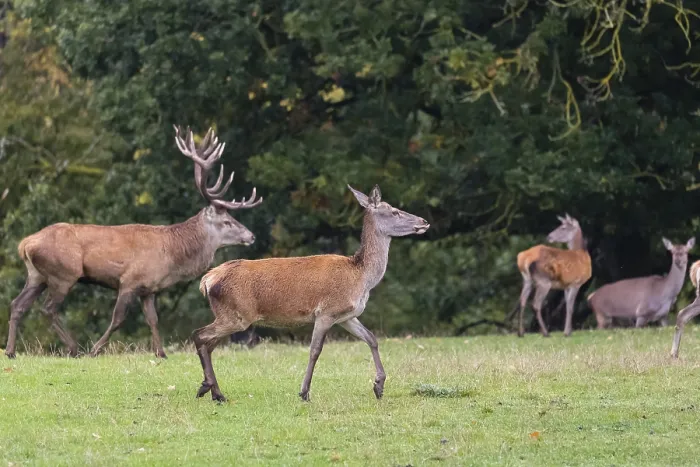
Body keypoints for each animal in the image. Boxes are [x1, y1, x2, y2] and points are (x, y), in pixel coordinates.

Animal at [5, 125, 262, 359]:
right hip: (64, 273)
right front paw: (95, 350)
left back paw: (10, 351)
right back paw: (74, 348)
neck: (173, 255)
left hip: (37, 275)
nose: (251, 236)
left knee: (17, 304)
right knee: (47, 308)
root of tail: (25, 244)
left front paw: (161, 353)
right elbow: (117, 319)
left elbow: (153, 319)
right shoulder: (129, 280)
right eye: (227, 221)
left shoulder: (148, 289)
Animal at [192, 184, 430, 402]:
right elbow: (315, 350)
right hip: (237, 315)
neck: (361, 278)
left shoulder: (347, 316)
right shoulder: (326, 312)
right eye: (395, 211)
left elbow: (372, 338)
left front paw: (379, 386)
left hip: (230, 315)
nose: (424, 221)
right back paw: (208, 387)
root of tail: (207, 280)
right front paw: (304, 392)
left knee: (209, 344)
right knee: (199, 335)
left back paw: (215, 392)